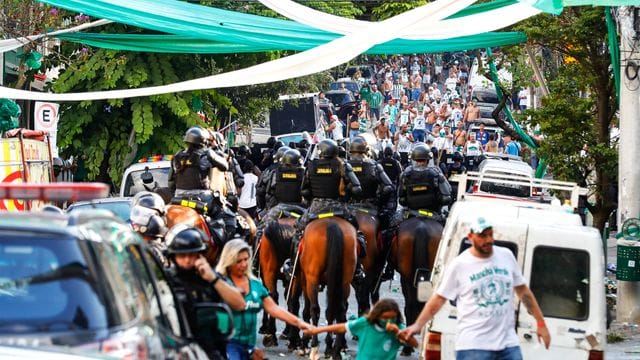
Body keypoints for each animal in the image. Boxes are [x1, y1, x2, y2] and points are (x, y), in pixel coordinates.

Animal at [298, 217, 358, 360]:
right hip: (344, 281)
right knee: (338, 311)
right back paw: (335, 351)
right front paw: (329, 348)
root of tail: (332, 224)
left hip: (312, 279)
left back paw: (315, 348)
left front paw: (304, 344)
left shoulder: (304, 279)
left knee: (315, 309)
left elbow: (307, 310)